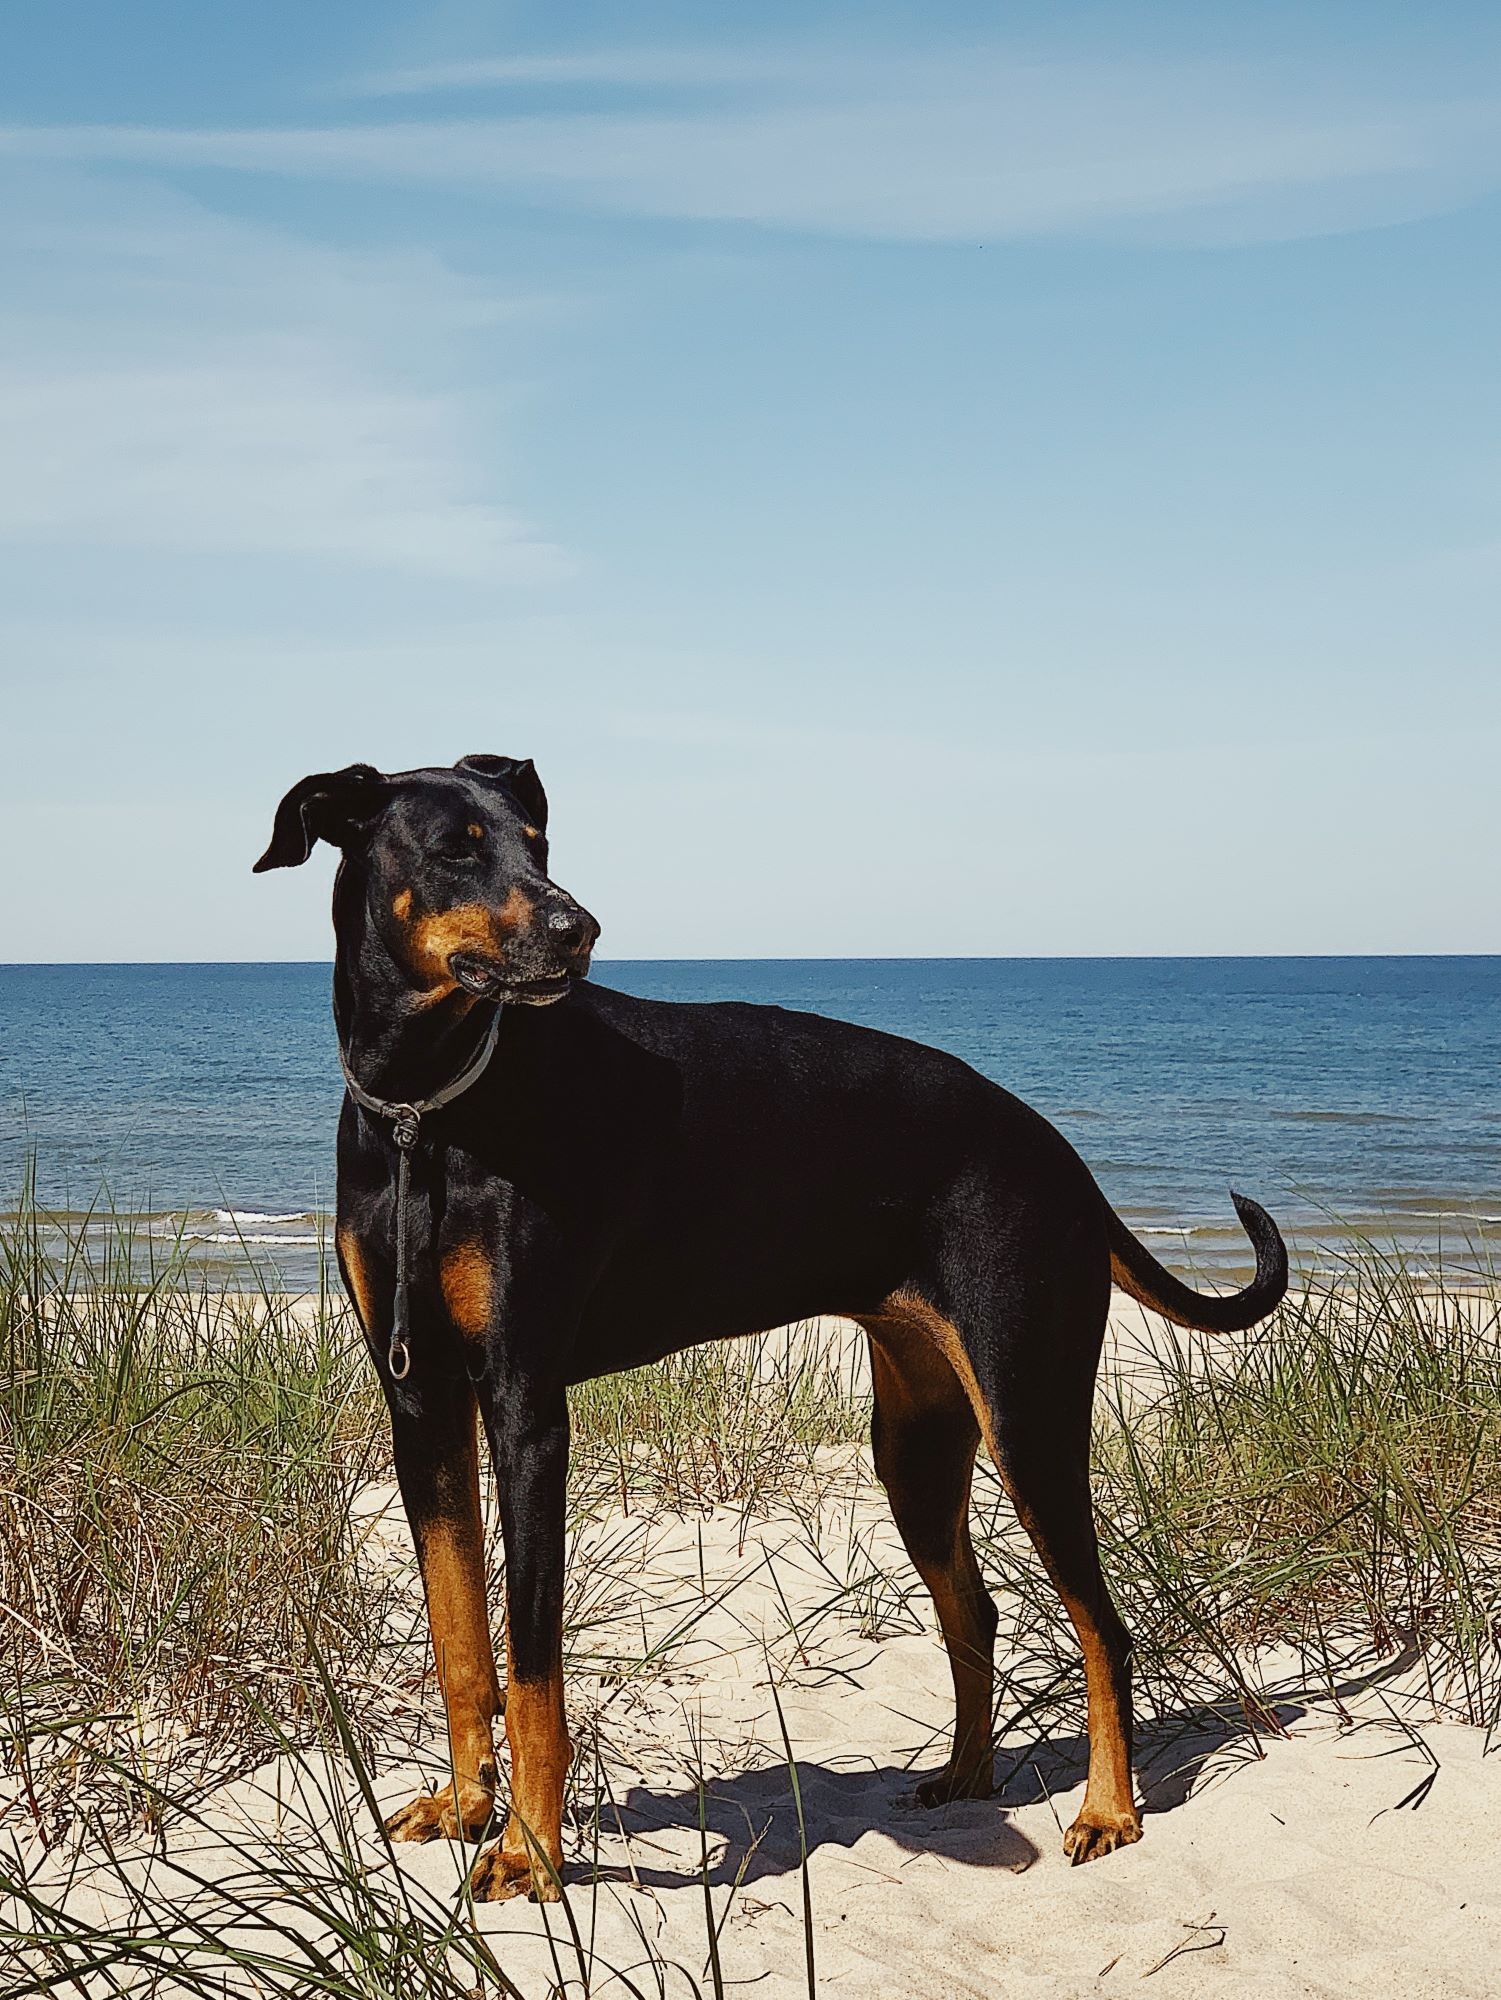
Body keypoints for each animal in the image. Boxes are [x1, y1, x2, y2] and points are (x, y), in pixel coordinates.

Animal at [253, 756, 1288, 1896]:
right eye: (455, 847)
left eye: (538, 841)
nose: (580, 927)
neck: (426, 1111)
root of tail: (1060, 1157)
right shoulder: (422, 1401)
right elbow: (459, 1639)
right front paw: (469, 1806)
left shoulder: (526, 1410)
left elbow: (533, 1665)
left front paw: (528, 1848)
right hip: (916, 1443)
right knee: (974, 1610)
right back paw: (965, 1775)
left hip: (1028, 1416)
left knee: (1102, 1626)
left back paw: (1108, 1809)